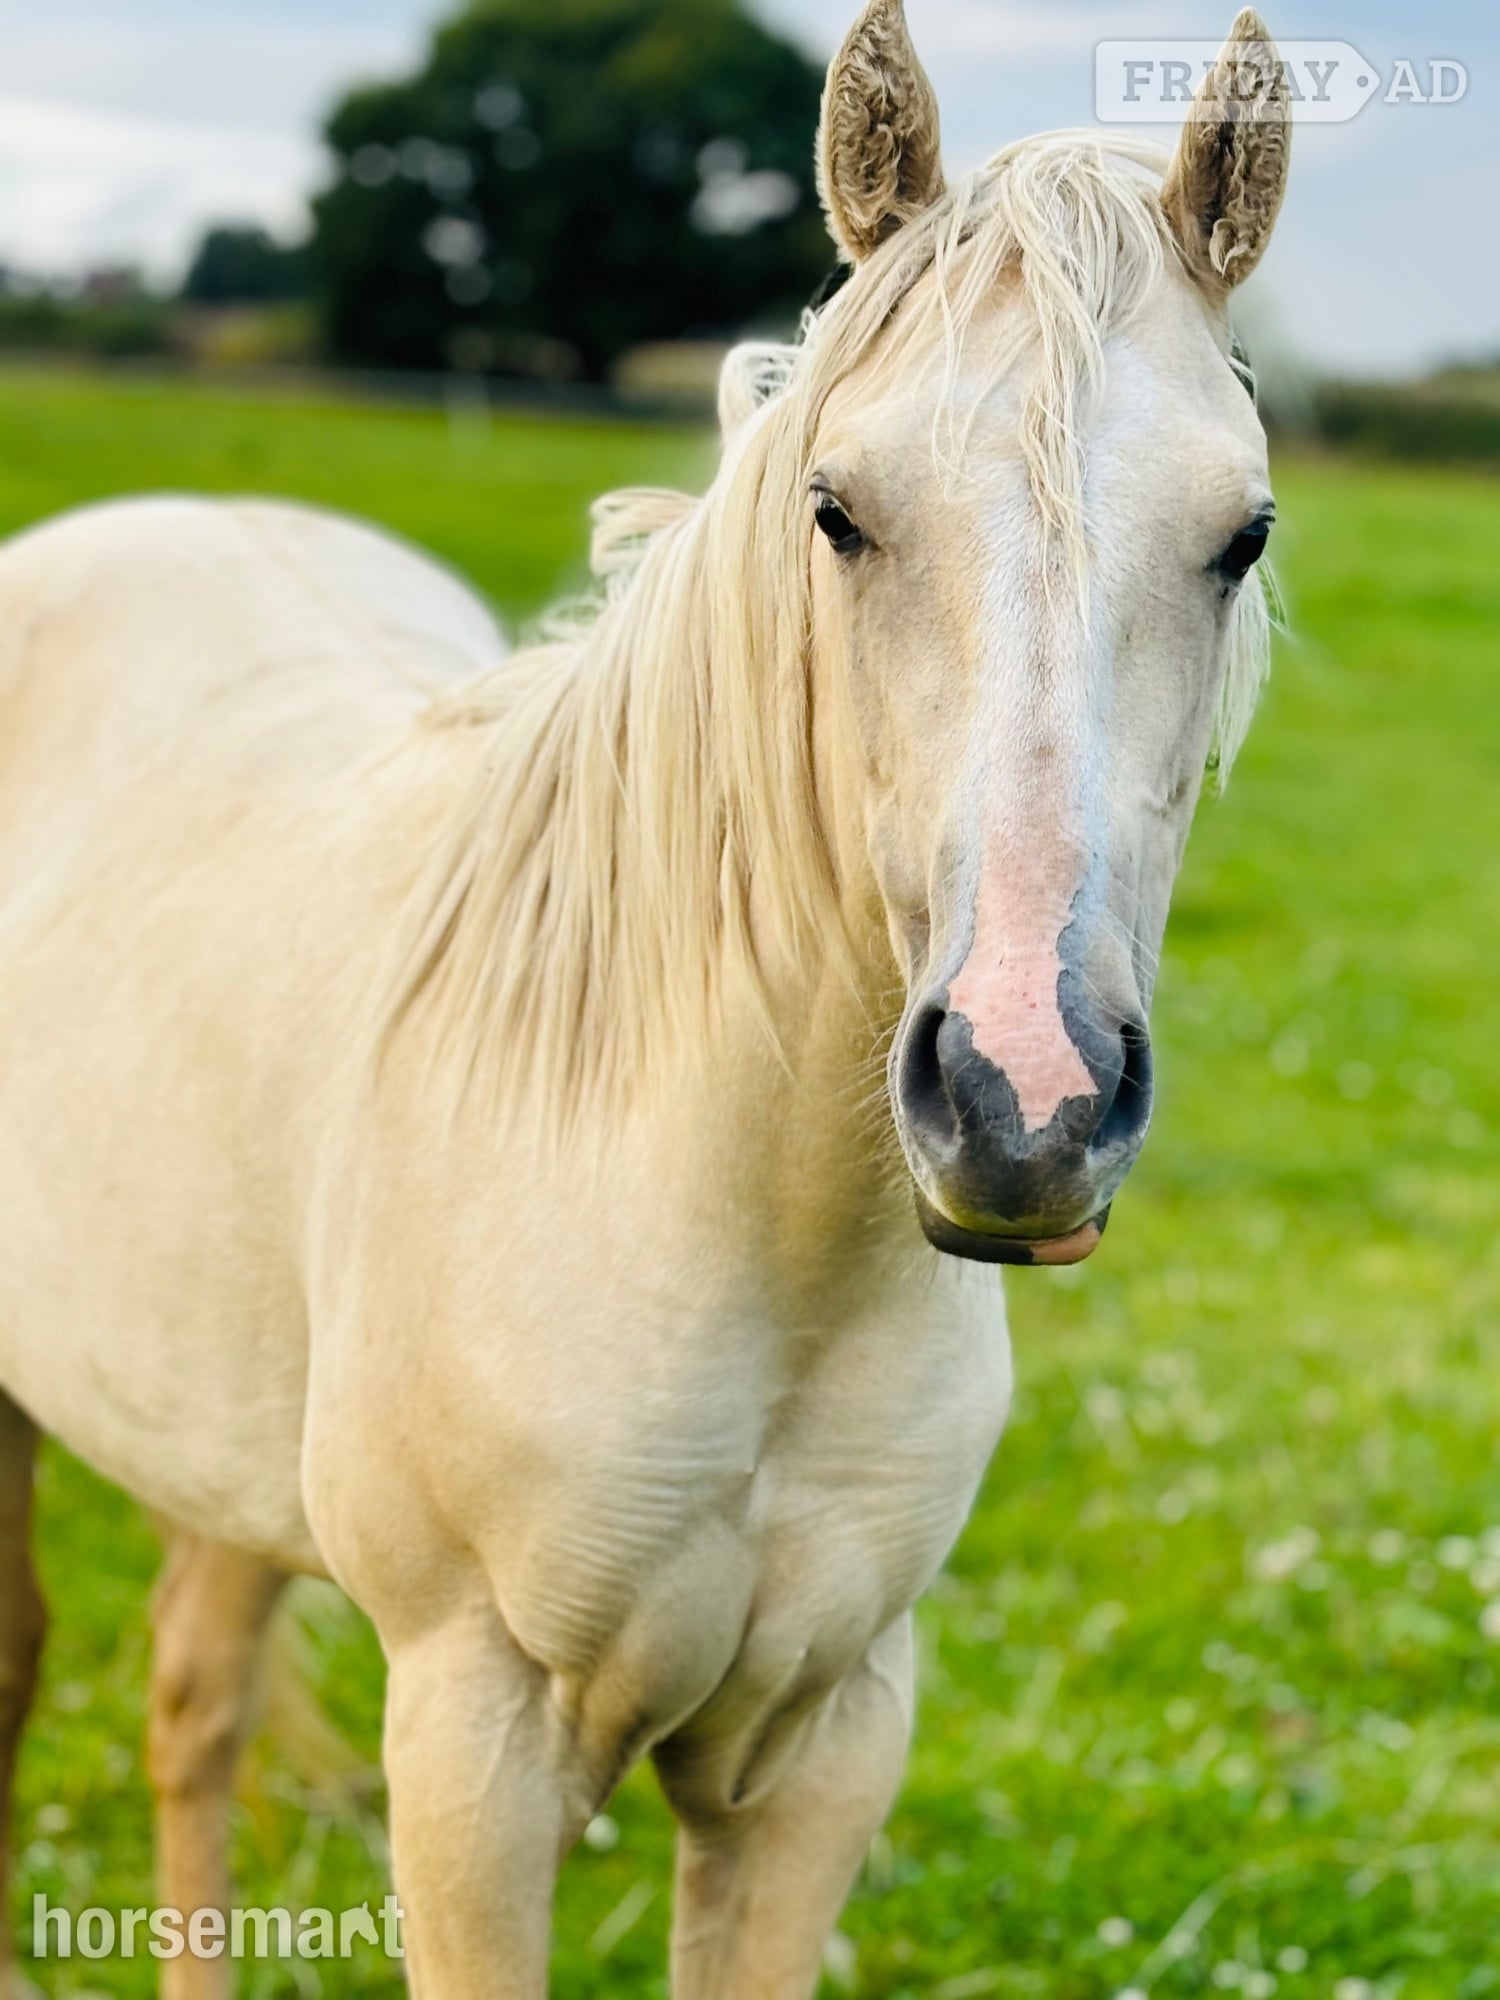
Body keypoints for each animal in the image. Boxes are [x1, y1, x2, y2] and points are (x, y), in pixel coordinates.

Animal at [0, 3, 1290, 1992]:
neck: (728, 1218)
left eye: (1241, 536)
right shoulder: (474, 1744)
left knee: (193, 1704)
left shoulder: (821, 1750)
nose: (1027, 1100)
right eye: (837, 511)